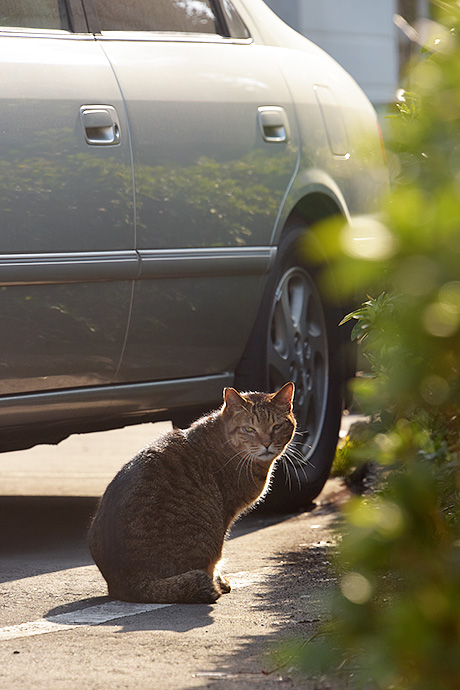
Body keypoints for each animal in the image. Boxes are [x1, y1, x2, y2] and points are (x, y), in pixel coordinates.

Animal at [89, 382, 296, 600]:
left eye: (277, 426)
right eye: (249, 429)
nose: (266, 444)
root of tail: (127, 583)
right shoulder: (225, 515)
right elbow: (215, 564)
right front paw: (219, 581)